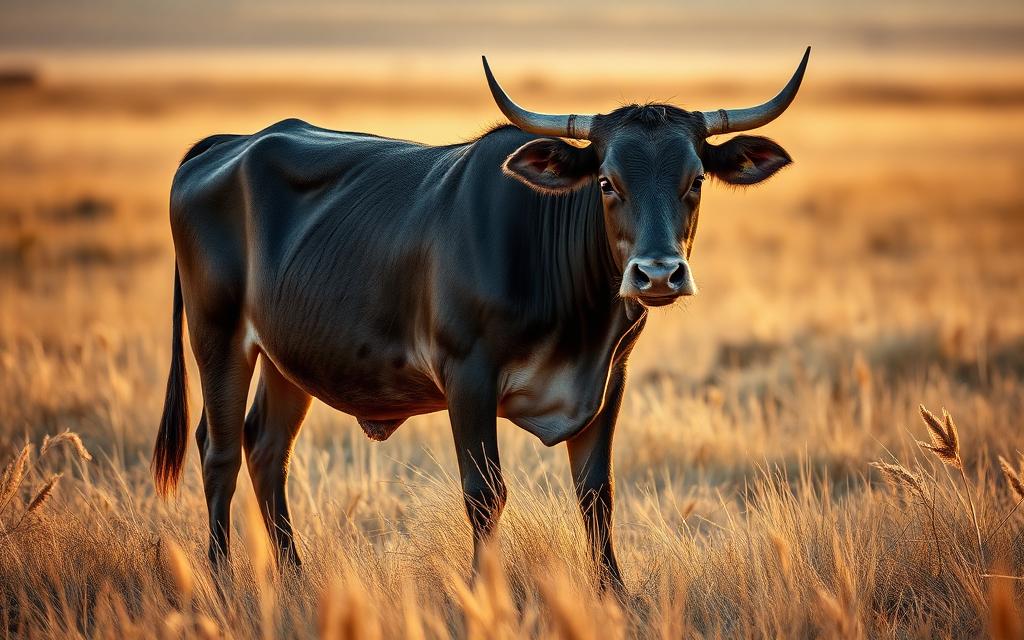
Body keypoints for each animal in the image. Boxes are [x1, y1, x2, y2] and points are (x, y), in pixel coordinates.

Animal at [152, 48, 810, 589]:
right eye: (606, 181)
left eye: (694, 181)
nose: (657, 275)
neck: (580, 320)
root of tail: (228, 144)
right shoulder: (468, 376)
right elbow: (484, 493)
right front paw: (482, 591)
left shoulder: (610, 378)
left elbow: (596, 493)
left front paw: (614, 594)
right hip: (217, 336)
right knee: (219, 451)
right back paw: (220, 580)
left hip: (288, 359)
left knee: (267, 450)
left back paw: (295, 580)